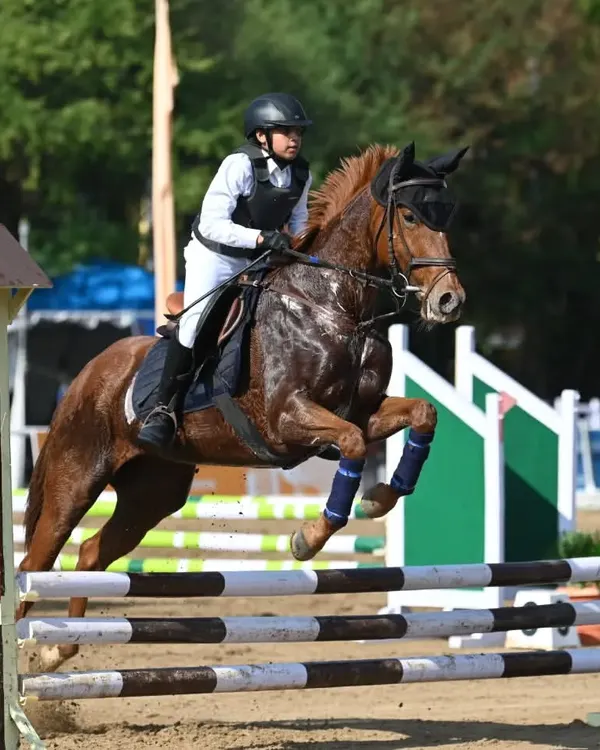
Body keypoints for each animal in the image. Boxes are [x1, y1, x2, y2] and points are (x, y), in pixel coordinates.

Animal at [16, 141, 468, 671]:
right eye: (411, 216)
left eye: (447, 214)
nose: (449, 301)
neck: (336, 307)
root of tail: (87, 374)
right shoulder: (286, 419)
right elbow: (354, 445)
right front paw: (309, 537)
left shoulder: (363, 411)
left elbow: (422, 414)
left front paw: (379, 497)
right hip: (77, 478)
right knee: (36, 561)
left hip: (153, 492)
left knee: (90, 554)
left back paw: (58, 649)